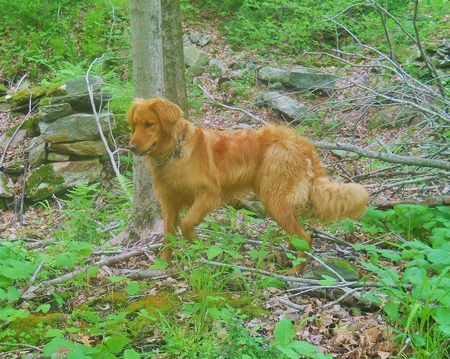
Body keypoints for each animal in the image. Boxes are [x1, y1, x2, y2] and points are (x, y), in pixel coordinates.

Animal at [127, 97, 370, 272]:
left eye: (149, 124)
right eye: (134, 125)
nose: (131, 147)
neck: (174, 153)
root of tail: (303, 143)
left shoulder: (210, 194)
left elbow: (186, 223)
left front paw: (196, 243)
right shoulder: (169, 201)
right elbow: (168, 235)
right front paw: (163, 265)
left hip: (274, 198)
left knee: (306, 236)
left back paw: (294, 271)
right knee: (298, 232)